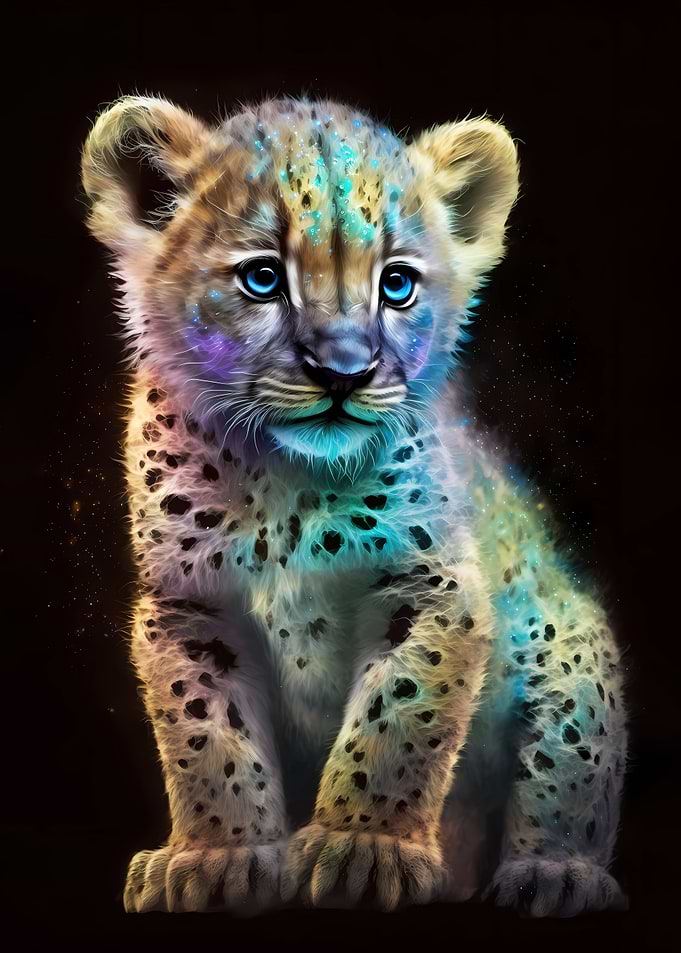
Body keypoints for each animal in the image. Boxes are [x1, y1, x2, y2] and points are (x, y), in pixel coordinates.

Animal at [80, 94, 628, 918]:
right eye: (262, 278)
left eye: (396, 284)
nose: (344, 370)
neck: (286, 487)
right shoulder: (187, 604)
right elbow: (206, 735)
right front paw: (217, 856)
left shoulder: (433, 589)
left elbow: (396, 719)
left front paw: (364, 848)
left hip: (571, 646)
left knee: (572, 769)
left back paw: (556, 875)